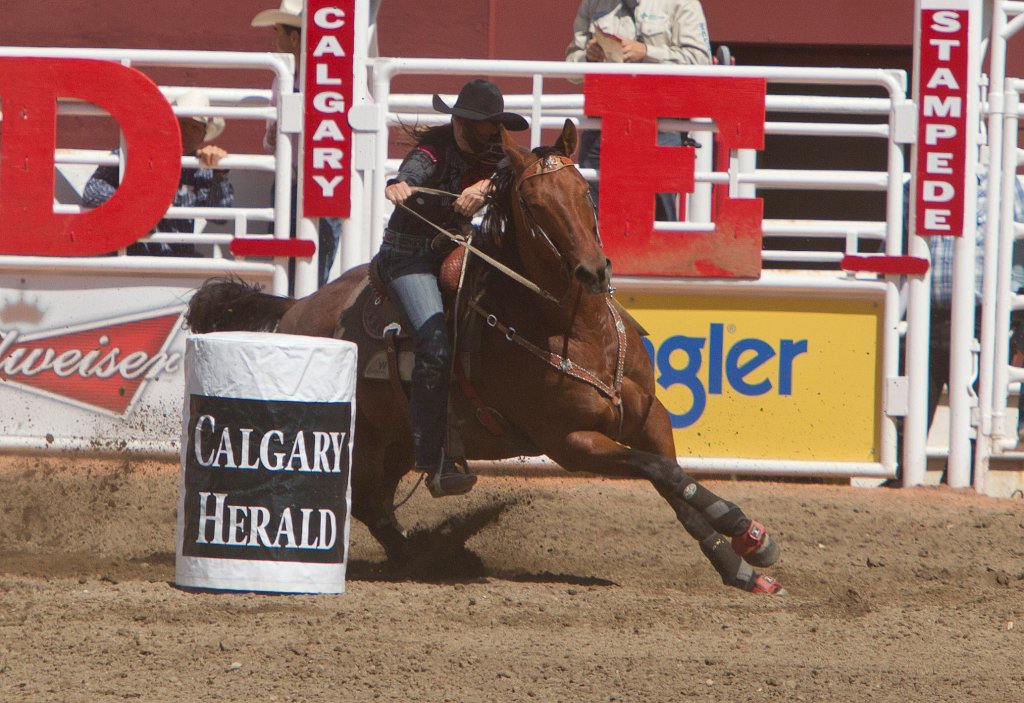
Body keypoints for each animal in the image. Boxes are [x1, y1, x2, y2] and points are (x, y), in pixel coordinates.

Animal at [186, 120, 782, 593]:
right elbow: (660, 471)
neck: (577, 332)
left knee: (378, 500)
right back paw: (430, 559)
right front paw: (742, 528)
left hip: (400, 440)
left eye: (583, 191)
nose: (593, 272)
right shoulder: (570, 442)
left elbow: (675, 481)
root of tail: (297, 307)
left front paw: (742, 559)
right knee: (369, 504)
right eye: (535, 205)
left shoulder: (648, 417)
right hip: (367, 440)